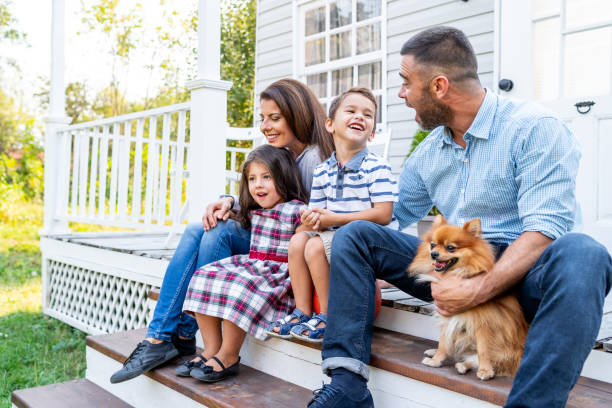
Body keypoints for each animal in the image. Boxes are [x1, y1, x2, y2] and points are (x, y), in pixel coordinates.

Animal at [408, 215, 528, 380]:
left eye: (450, 247)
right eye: (432, 245)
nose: (433, 254)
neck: (453, 275)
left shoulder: (484, 324)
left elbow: (483, 350)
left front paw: (485, 371)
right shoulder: (448, 318)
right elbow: (443, 343)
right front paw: (436, 361)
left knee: (478, 359)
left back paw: (464, 366)